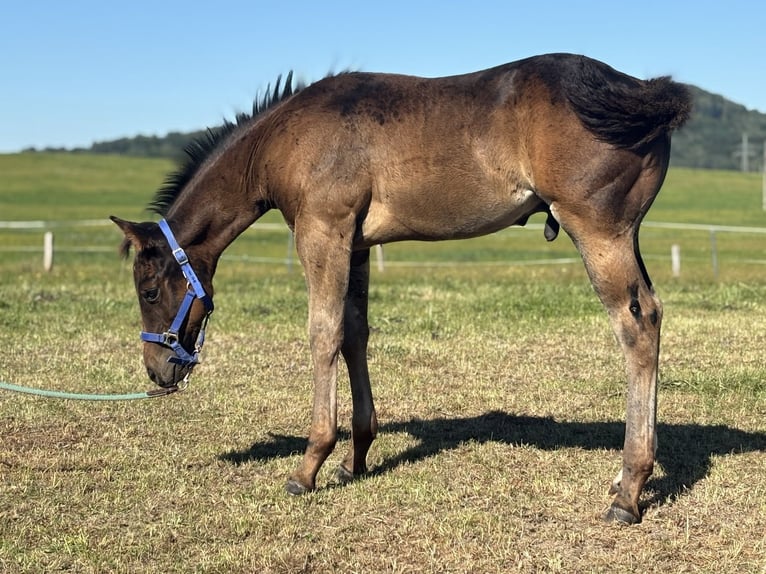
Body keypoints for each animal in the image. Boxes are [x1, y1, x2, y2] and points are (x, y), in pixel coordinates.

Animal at [111, 53, 691, 524]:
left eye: (148, 292)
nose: (157, 372)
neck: (283, 138)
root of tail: (638, 91)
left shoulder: (322, 231)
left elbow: (322, 334)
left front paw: (309, 464)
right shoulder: (356, 244)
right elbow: (354, 333)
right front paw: (355, 457)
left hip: (598, 230)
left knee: (637, 323)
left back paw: (629, 490)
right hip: (625, 233)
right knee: (653, 315)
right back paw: (622, 479)